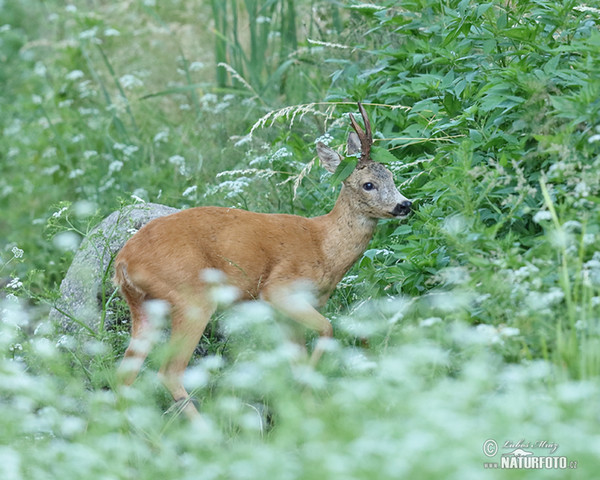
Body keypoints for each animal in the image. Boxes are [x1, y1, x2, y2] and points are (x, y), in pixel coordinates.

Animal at [114, 103, 410, 418]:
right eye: (368, 185)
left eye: (391, 176)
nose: (405, 205)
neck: (323, 246)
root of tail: (123, 263)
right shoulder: (278, 289)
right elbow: (327, 329)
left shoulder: (286, 314)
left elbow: (298, 360)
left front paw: (306, 409)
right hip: (190, 297)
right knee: (169, 372)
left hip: (145, 306)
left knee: (124, 375)